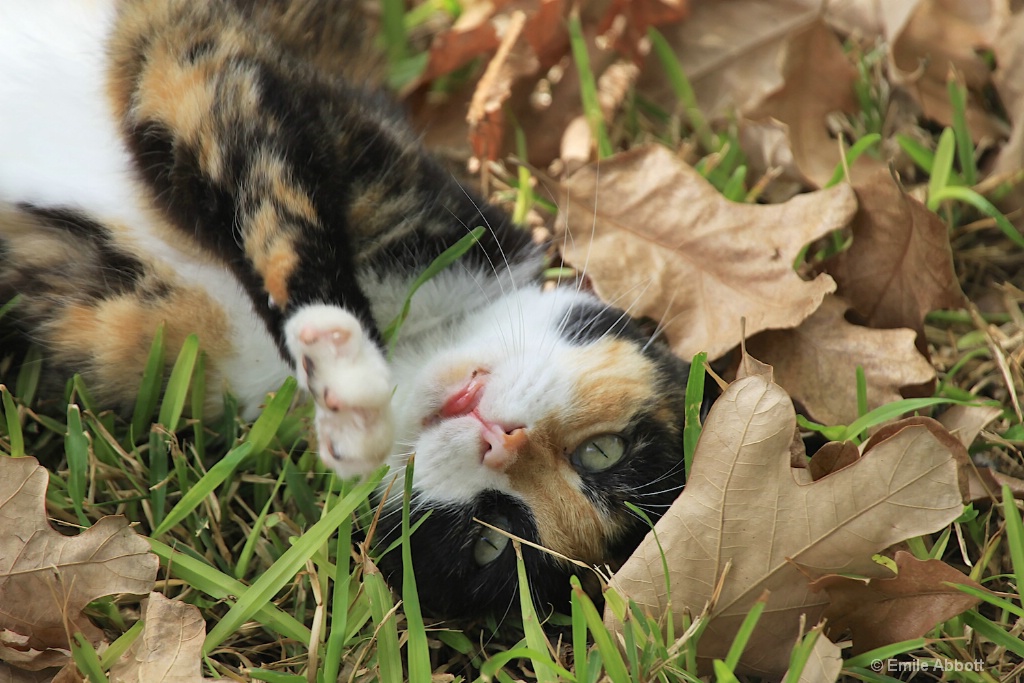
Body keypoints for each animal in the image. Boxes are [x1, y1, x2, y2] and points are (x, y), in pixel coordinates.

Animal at [0, 0, 692, 618]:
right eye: (604, 453)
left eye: (489, 541)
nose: (501, 442)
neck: (409, 343)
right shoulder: (216, 65)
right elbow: (273, 193)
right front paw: (342, 353)